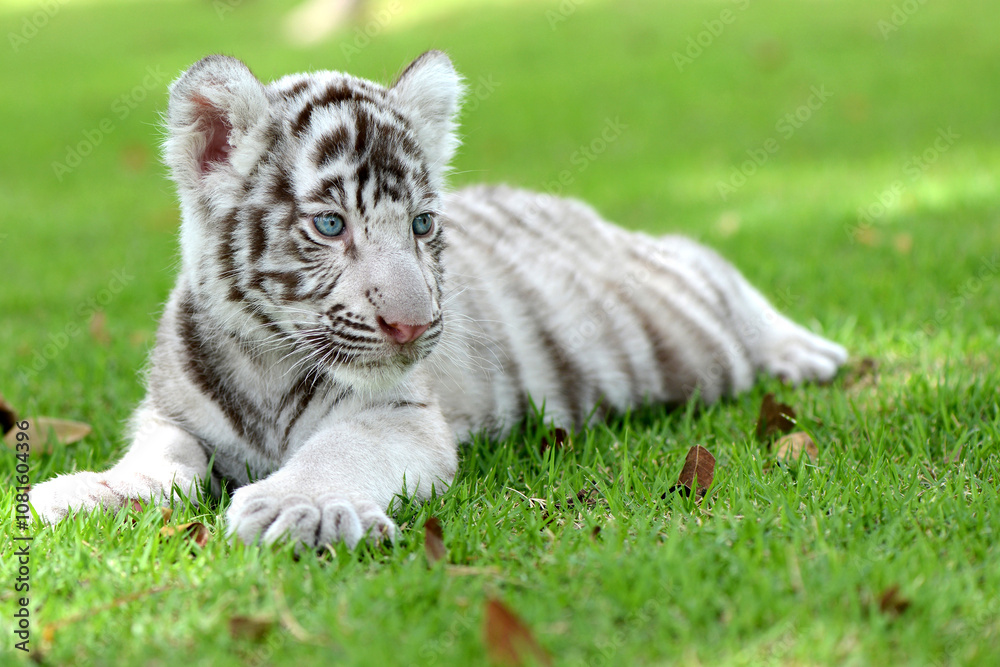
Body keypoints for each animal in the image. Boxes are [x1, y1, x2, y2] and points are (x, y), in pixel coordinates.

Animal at [30, 51, 848, 547]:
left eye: (422, 224)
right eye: (330, 225)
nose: (414, 324)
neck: (267, 359)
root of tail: (580, 210)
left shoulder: (399, 415)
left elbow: (339, 448)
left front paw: (303, 508)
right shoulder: (168, 415)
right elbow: (157, 462)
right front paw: (80, 493)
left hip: (691, 316)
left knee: (710, 261)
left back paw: (807, 351)